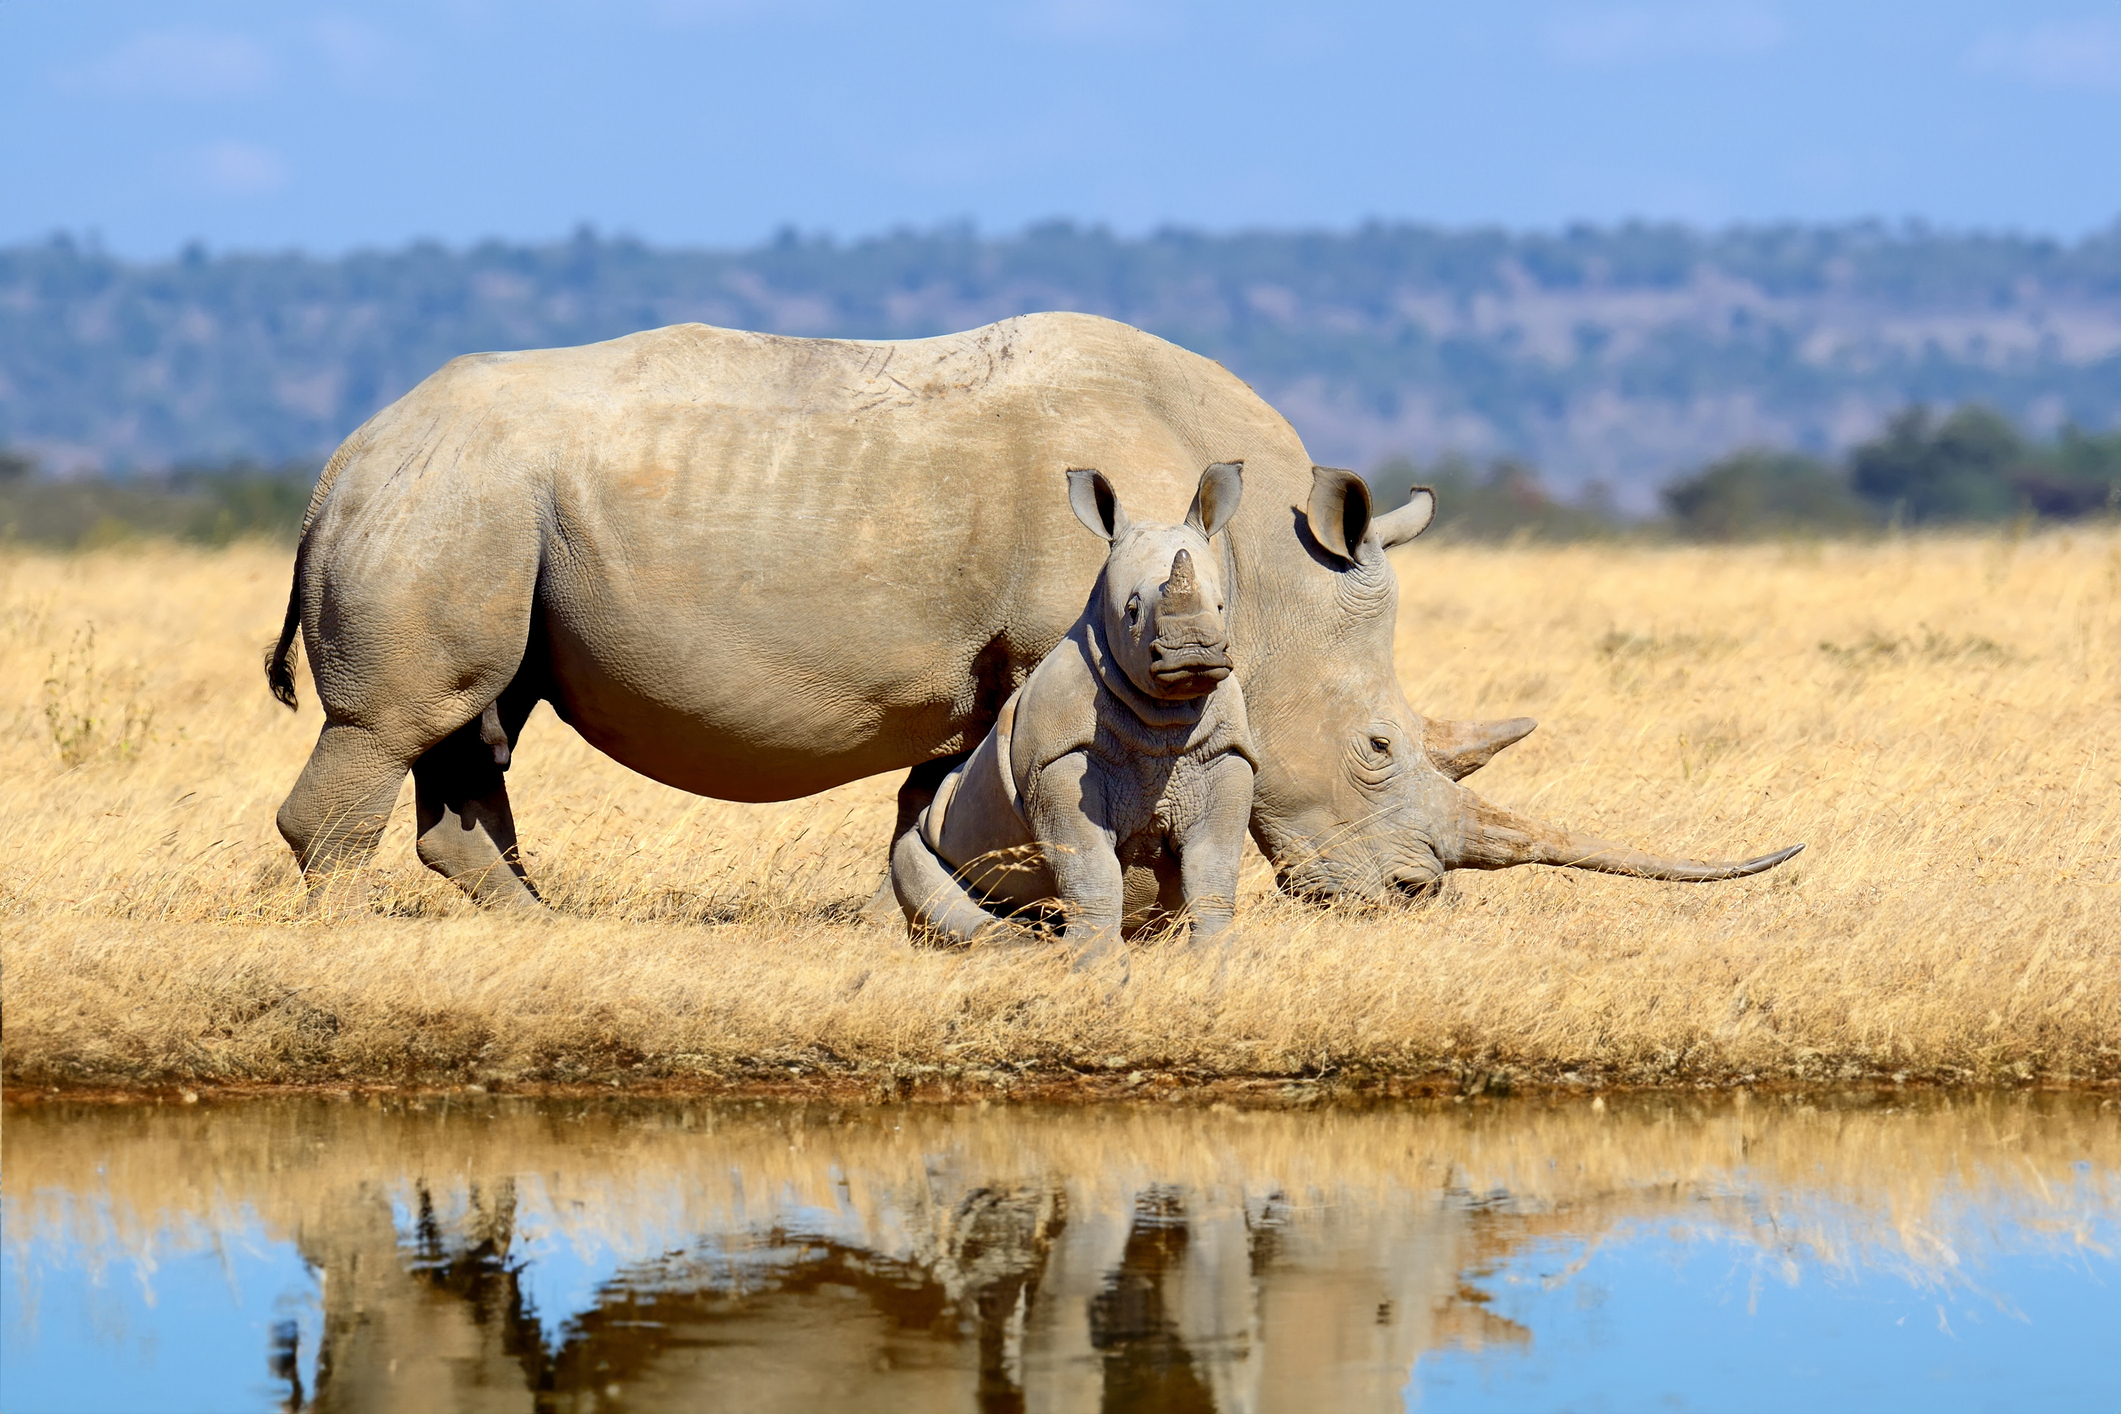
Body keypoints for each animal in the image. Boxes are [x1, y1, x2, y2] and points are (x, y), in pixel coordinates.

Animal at [891, 463, 1256, 954]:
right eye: (1132, 611)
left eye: (1219, 607)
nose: (1193, 654)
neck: (1166, 714)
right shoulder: (1056, 759)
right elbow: (1089, 868)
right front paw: (1098, 960)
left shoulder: (1225, 753)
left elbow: (1214, 866)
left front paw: (1218, 954)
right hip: (933, 830)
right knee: (917, 867)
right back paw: (1020, 945)